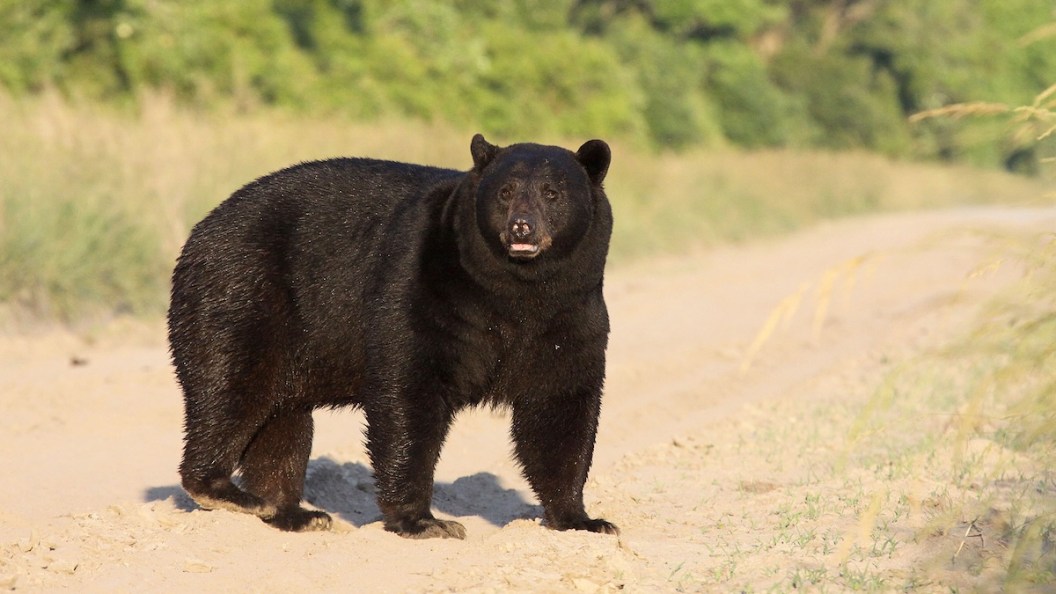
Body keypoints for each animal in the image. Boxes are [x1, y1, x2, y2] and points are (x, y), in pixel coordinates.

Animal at [167, 134, 617, 539]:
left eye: (552, 192)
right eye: (505, 192)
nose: (521, 228)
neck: (519, 291)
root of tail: (197, 234)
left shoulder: (570, 313)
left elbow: (560, 407)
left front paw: (582, 519)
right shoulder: (424, 282)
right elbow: (408, 387)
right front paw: (424, 521)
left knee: (282, 422)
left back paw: (291, 512)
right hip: (242, 296)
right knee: (232, 388)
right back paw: (225, 491)